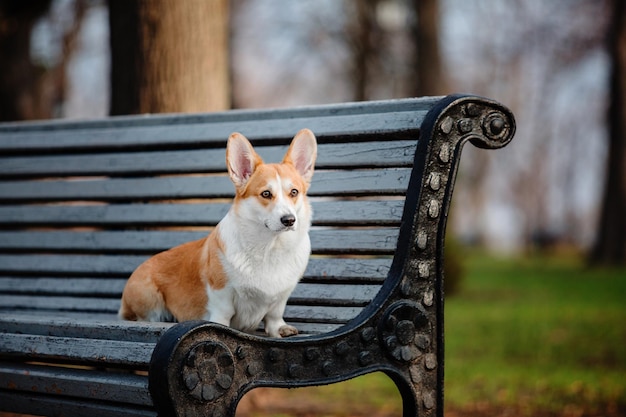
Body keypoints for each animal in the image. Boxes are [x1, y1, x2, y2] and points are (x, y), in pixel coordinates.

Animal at [118, 128, 316, 336]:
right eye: (266, 194)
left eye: (294, 192)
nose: (289, 220)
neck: (270, 246)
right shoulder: (221, 290)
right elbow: (224, 313)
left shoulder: (282, 295)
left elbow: (275, 314)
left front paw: (278, 329)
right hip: (149, 297)